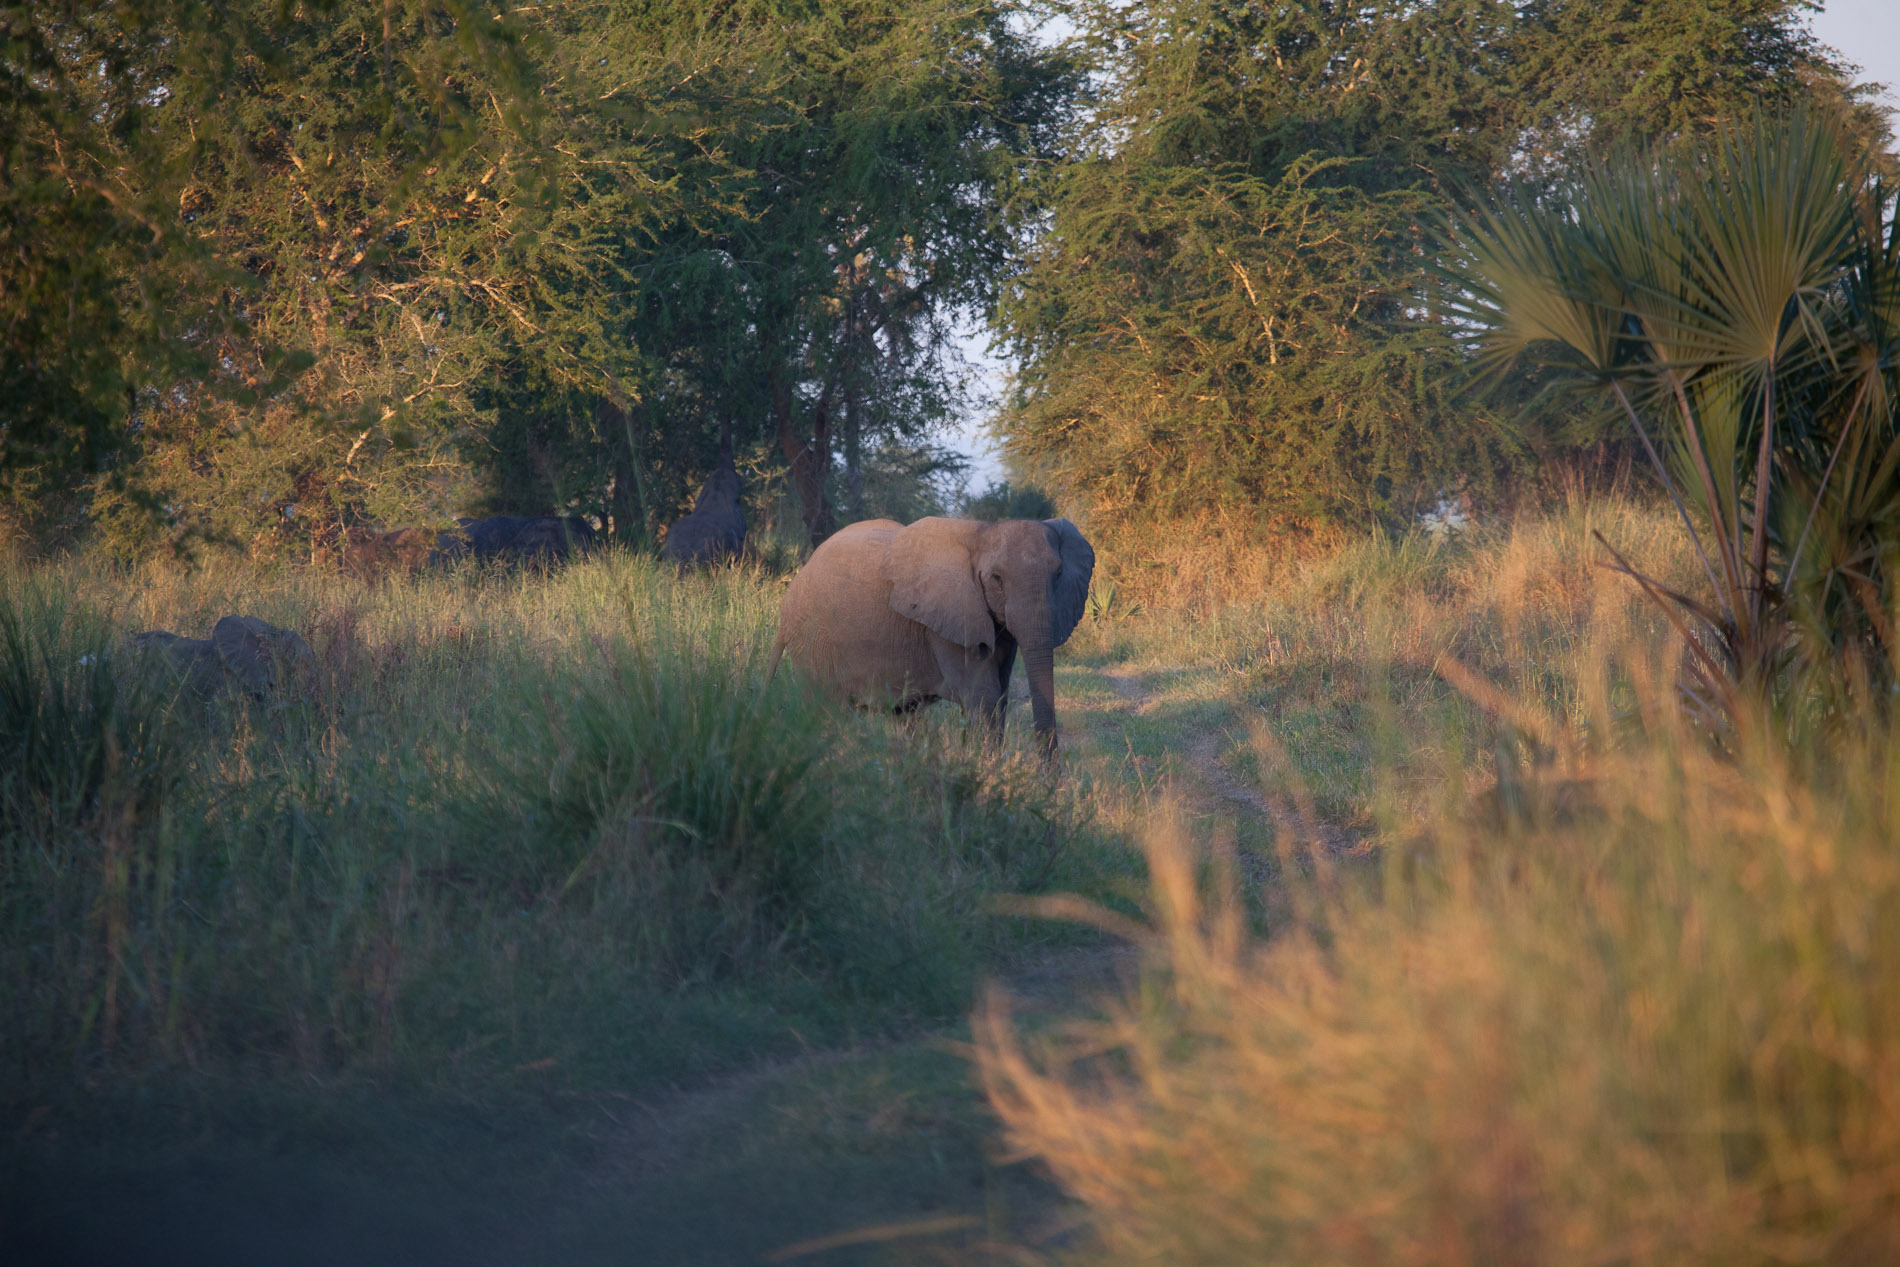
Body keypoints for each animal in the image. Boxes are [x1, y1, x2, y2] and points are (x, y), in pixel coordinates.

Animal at [771, 516, 1102, 752]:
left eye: (1058, 575)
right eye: (996, 578)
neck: (981, 533)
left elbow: (1000, 695)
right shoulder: (946, 622)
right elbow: (983, 695)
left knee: (901, 715)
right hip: (812, 641)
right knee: (825, 710)